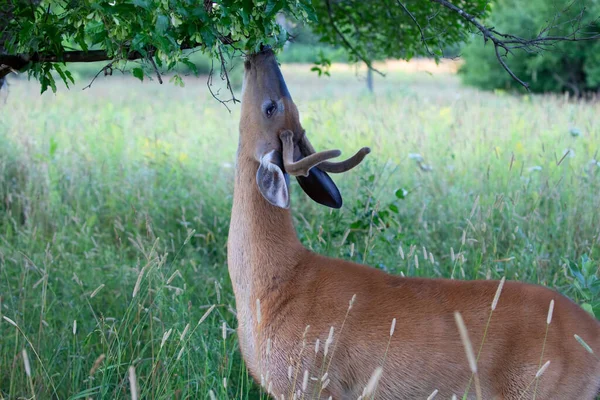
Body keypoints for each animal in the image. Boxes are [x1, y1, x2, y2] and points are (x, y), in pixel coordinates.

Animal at [226, 47, 600, 400]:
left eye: (270, 108)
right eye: (282, 108)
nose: (262, 51)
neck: (272, 287)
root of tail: (593, 333)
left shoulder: (313, 383)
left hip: (546, 389)